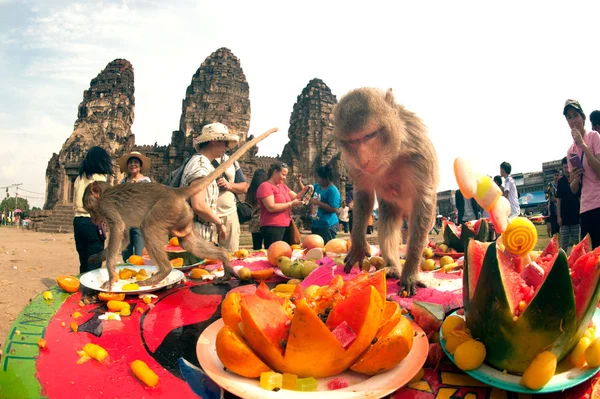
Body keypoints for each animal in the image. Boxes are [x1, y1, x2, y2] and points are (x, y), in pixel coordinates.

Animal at [83, 128, 278, 290]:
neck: (105, 193)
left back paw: (162, 272)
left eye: (89, 207)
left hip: (166, 208)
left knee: (149, 227)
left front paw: (110, 276)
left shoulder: (107, 206)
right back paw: (224, 260)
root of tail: (175, 192)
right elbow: (123, 238)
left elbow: (117, 230)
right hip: (182, 215)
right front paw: (99, 257)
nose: (92, 219)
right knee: (187, 242)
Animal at [332, 90, 440, 296]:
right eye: (352, 142)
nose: (364, 159)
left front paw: (410, 274)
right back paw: (393, 267)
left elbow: (423, 201)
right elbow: (364, 194)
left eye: (370, 135)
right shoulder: (353, 163)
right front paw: (358, 244)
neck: (393, 154)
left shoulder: (419, 153)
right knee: (388, 220)